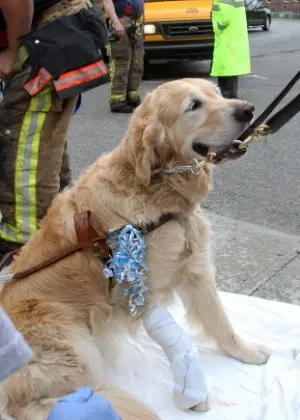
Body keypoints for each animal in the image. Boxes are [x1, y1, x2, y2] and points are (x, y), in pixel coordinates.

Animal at [0, 78, 272, 416]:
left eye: (218, 93)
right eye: (194, 105)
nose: (248, 110)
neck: (156, 185)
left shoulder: (195, 269)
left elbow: (221, 320)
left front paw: (246, 351)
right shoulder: (142, 291)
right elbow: (179, 337)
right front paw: (194, 394)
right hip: (77, 352)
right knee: (29, 406)